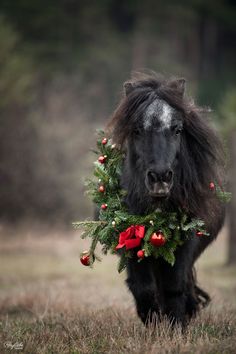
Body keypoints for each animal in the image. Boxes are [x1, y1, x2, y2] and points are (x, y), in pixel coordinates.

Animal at [106, 72, 225, 326]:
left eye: (177, 129)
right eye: (137, 130)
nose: (160, 177)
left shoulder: (185, 243)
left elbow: (174, 287)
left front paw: (176, 325)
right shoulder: (131, 241)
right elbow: (143, 288)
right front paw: (153, 324)